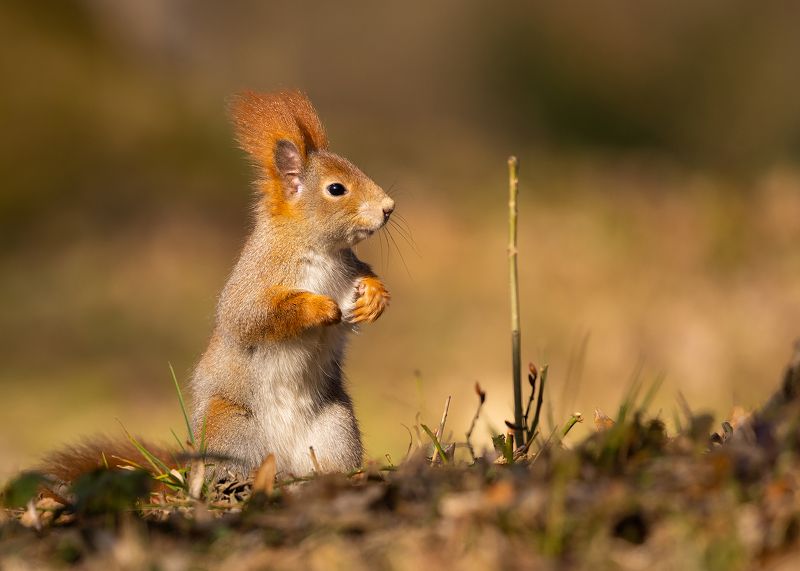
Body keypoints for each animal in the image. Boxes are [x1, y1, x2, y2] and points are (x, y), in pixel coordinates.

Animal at [42, 90, 394, 482]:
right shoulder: (255, 281)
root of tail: (285, 462)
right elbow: (253, 317)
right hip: (232, 430)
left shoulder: (347, 268)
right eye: (336, 189)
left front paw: (373, 298)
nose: (388, 208)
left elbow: (364, 279)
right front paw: (320, 307)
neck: (318, 250)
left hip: (335, 428)